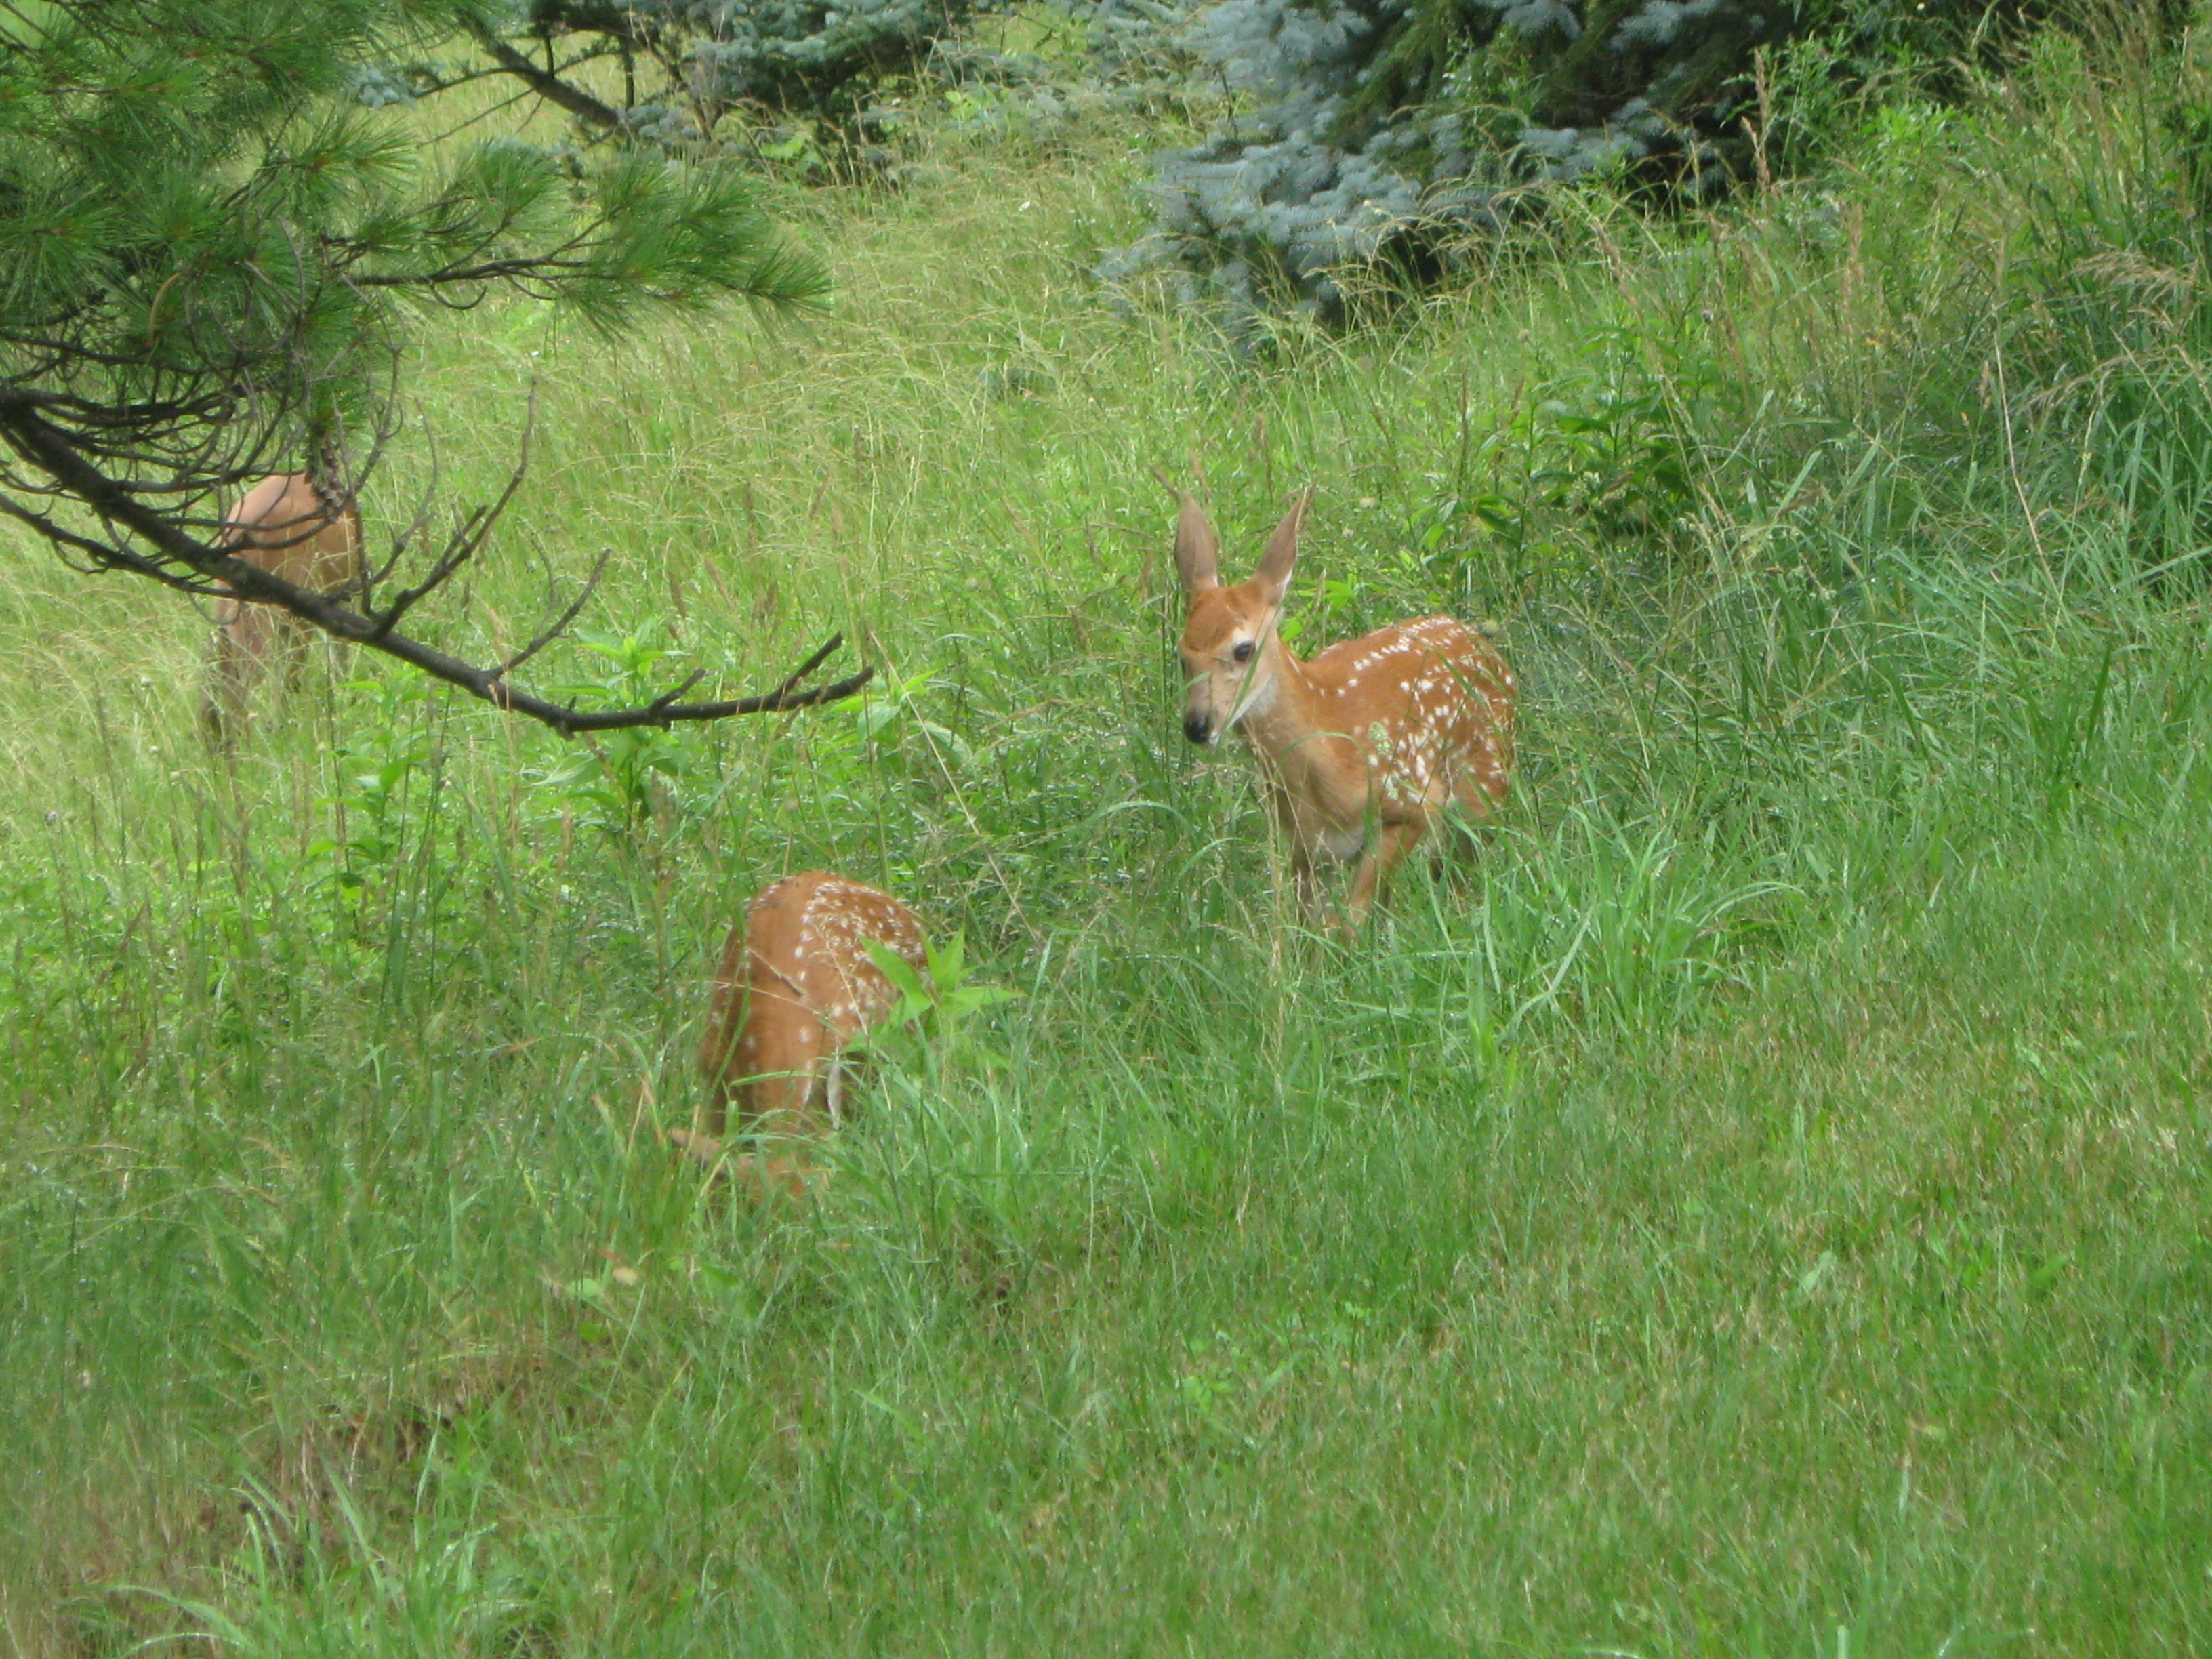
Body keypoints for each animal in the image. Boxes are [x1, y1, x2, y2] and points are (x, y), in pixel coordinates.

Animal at [1176, 493, 1521, 937]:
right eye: (1182, 656)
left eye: (1243, 649)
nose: (1198, 725)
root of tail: (1483, 643)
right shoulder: (1306, 849)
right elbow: (1314, 934)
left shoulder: (1415, 801)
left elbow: (1350, 923)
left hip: (1485, 788)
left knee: (1460, 880)